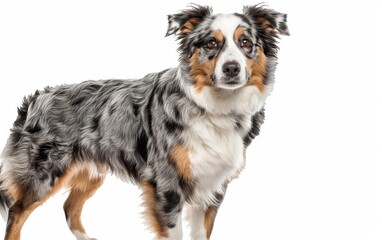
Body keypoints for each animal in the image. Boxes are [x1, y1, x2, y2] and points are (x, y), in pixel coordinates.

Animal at [0, 3, 288, 240]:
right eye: (210, 44)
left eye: (246, 42)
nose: (231, 69)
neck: (213, 107)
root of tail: (36, 97)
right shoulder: (166, 185)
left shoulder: (212, 188)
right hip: (43, 173)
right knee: (17, 212)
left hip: (91, 171)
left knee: (70, 207)